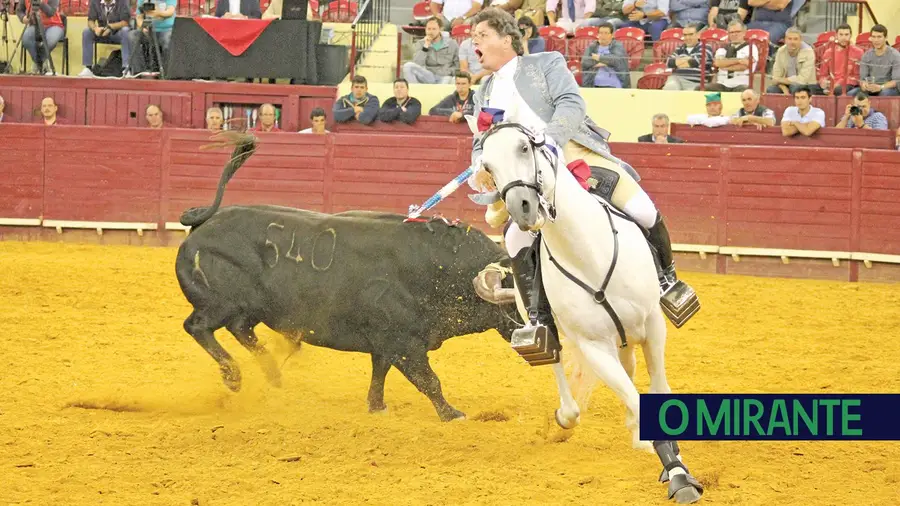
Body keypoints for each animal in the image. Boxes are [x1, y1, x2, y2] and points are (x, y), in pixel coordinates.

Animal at [175, 133, 516, 420]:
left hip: (250, 308)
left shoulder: (386, 343)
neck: (442, 268)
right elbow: (428, 379)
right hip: (220, 303)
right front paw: (452, 414)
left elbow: (380, 373)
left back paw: (273, 375)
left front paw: (377, 407)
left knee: (241, 330)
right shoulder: (403, 342)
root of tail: (204, 221)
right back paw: (234, 377)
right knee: (198, 326)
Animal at [474, 121, 708, 502]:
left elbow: (657, 389)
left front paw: (672, 458)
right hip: (540, 322)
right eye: (488, 167)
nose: (522, 208)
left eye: (524, 147)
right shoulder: (594, 347)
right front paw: (678, 475)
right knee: (556, 359)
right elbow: (634, 397)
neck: (587, 254)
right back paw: (569, 416)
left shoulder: (653, 326)